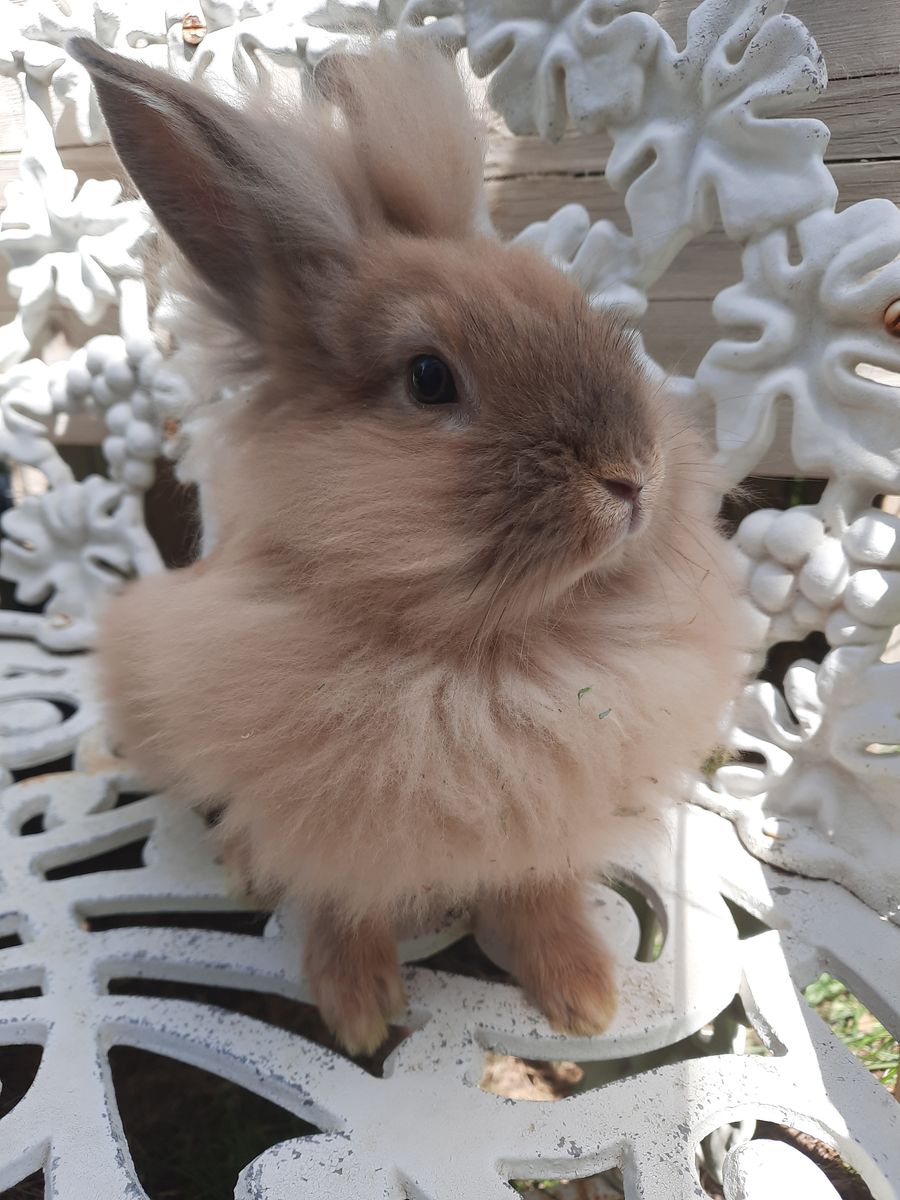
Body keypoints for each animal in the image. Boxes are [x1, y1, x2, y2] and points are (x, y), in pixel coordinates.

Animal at [70, 35, 748, 1056]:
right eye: (429, 379)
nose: (634, 476)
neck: (497, 656)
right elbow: (337, 899)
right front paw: (356, 1009)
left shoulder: (546, 818)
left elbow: (538, 891)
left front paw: (583, 995)